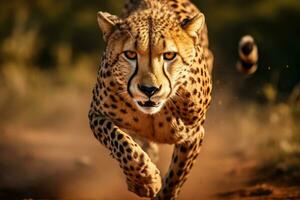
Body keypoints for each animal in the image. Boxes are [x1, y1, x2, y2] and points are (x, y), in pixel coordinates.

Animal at [88, 0, 256, 198]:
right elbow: (121, 143)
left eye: (169, 55)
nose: (149, 89)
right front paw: (144, 180)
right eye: (130, 54)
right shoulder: (96, 114)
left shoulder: (193, 134)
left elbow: (177, 173)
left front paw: (157, 187)